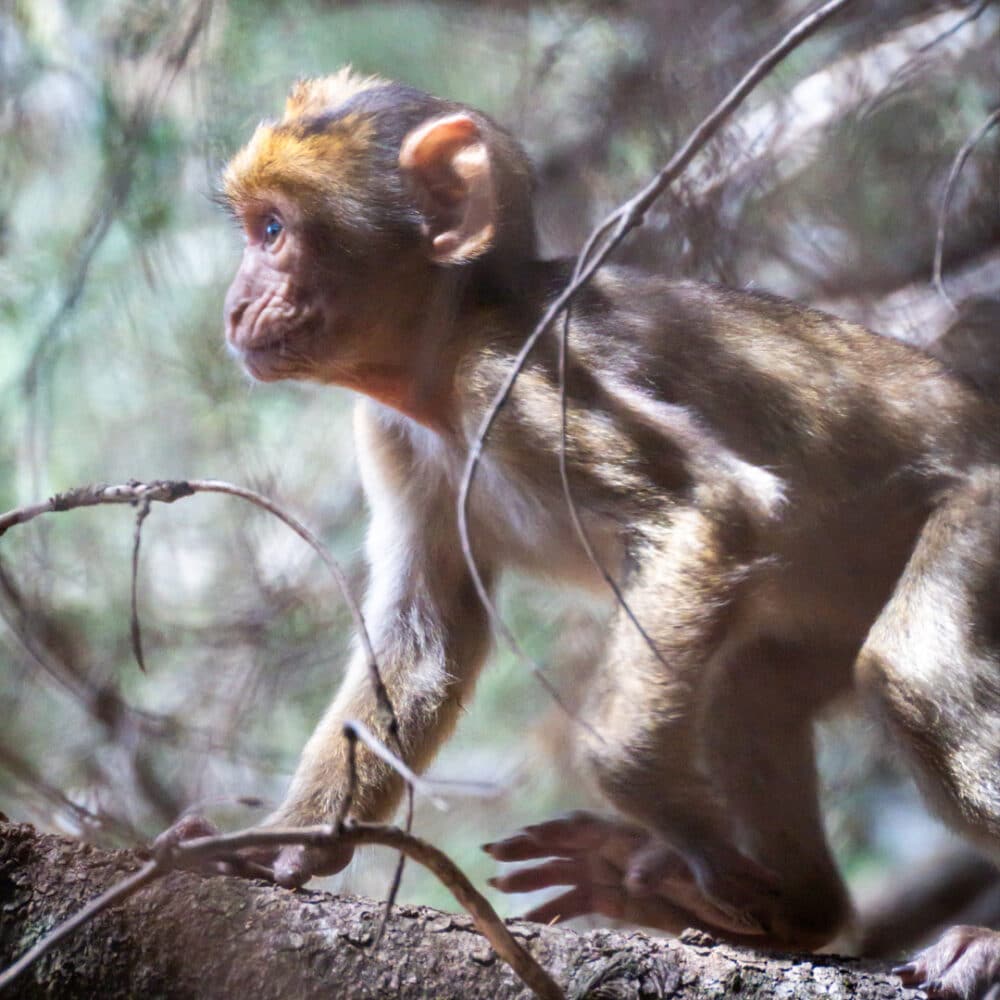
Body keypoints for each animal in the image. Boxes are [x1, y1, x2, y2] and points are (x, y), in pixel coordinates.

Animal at [219, 69, 1000, 999]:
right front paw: (292, 846)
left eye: (273, 230)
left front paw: (659, 803)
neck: (444, 352)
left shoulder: (514, 374)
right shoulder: (390, 430)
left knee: (907, 671)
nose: (235, 304)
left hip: (986, 507)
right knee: (754, 684)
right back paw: (789, 910)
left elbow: (709, 506)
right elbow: (426, 636)